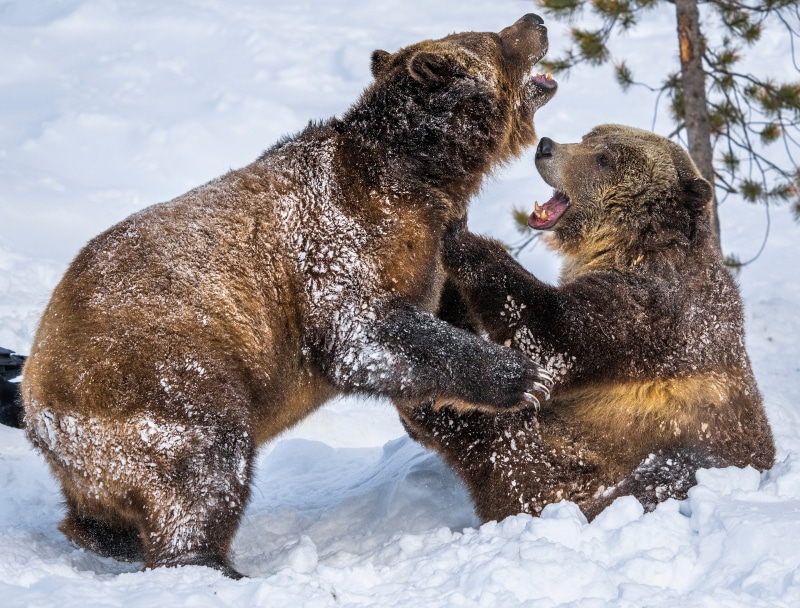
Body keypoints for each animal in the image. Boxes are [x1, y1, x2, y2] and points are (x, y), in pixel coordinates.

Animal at [21, 15, 557, 578]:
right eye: (494, 38)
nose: (535, 21)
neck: (419, 175)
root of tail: (36, 405)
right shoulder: (341, 238)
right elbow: (362, 331)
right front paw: (524, 377)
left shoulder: (425, 246)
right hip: (153, 377)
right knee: (203, 464)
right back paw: (209, 562)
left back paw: (109, 536)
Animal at [398, 124, 776, 523]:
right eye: (589, 136)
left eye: (604, 158)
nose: (546, 146)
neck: (624, 246)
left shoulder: (652, 310)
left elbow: (553, 333)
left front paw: (460, 233)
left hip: (612, 453)